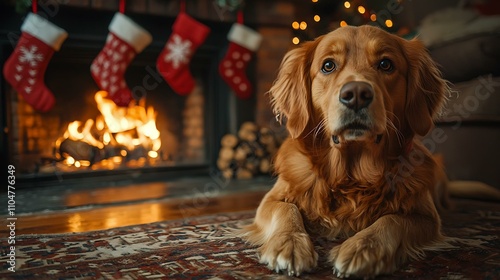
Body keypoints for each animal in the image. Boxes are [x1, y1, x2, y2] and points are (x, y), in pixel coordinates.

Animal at [241, 25, 454, 278]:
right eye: (328, 65)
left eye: (386, 64)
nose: (357, 94)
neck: (350, 176)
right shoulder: (271, 200)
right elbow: (286, 209)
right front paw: (289, 244)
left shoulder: (427, 217)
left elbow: (393, 220)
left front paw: (362, 248)